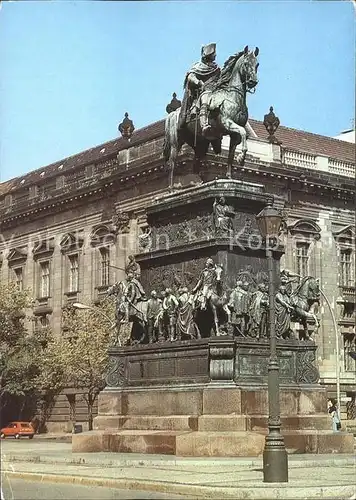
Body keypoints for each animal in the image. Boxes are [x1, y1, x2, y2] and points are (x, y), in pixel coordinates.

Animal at [163, 45, 258, 188]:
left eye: (257, 64)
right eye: (246, 63)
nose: (253, 82)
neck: (232, 97)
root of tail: (172, 114)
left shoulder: (233, 135)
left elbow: (231, 155)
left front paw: (229, 175)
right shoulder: (228, 123)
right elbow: (243, 132)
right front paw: (241, 157)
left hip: (199, 143)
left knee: (196, 162)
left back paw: (198, 183)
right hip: (176, 142)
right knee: (171, 163)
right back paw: (171, 188)